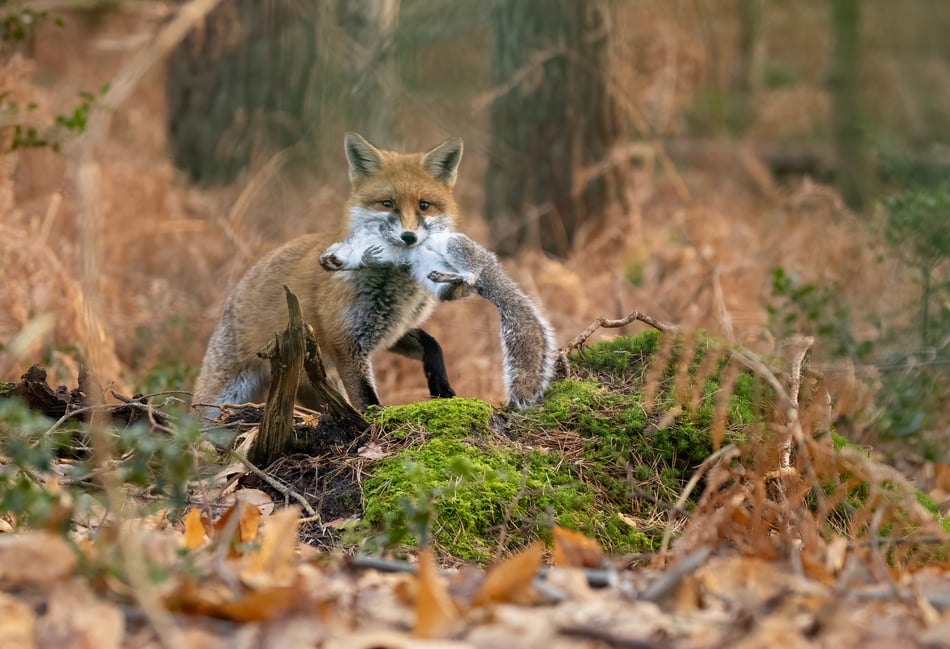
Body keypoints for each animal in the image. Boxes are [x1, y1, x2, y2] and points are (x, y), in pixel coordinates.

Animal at [192, 132, 465, 417]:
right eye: (387, 204)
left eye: (424, 206)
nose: (409, 237)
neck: (397, 291)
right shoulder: (346, 341)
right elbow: (368, 402)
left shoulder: (390, 330)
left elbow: (433, 344)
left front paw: (442, 387)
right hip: (219, 401)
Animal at [319, 229, 557, 409]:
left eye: (330, 253)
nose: (323, 261)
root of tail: (491, 269)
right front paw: (365, 258)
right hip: (432, 271)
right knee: (460, 284)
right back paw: (448, 279)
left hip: (456, 246)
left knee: (471, 273)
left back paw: (458, 274)